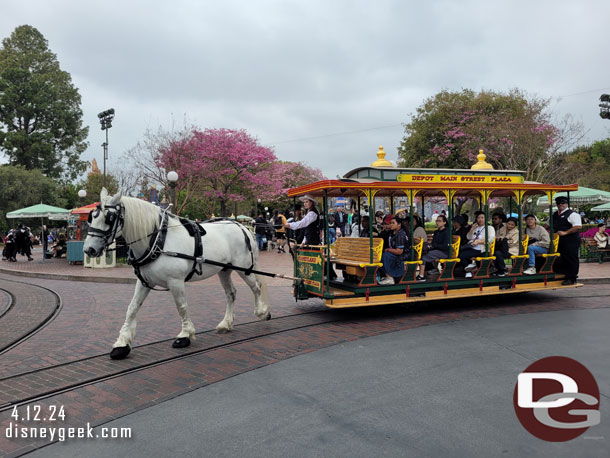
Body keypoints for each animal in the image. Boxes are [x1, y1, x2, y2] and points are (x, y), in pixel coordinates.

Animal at [82, 188, 268, 360]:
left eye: (109, 218)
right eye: (92, 217)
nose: (89, 249)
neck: (158, 240)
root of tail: (242, 226)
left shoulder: (175, 281)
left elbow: (181, 306)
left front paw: (185, 335)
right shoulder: (144, 282)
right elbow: (132, 308)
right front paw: (121, 344)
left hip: (244, 268)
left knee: (256, 287)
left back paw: (263, 312)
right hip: (224, 270)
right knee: (231, 293)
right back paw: (226, 324)